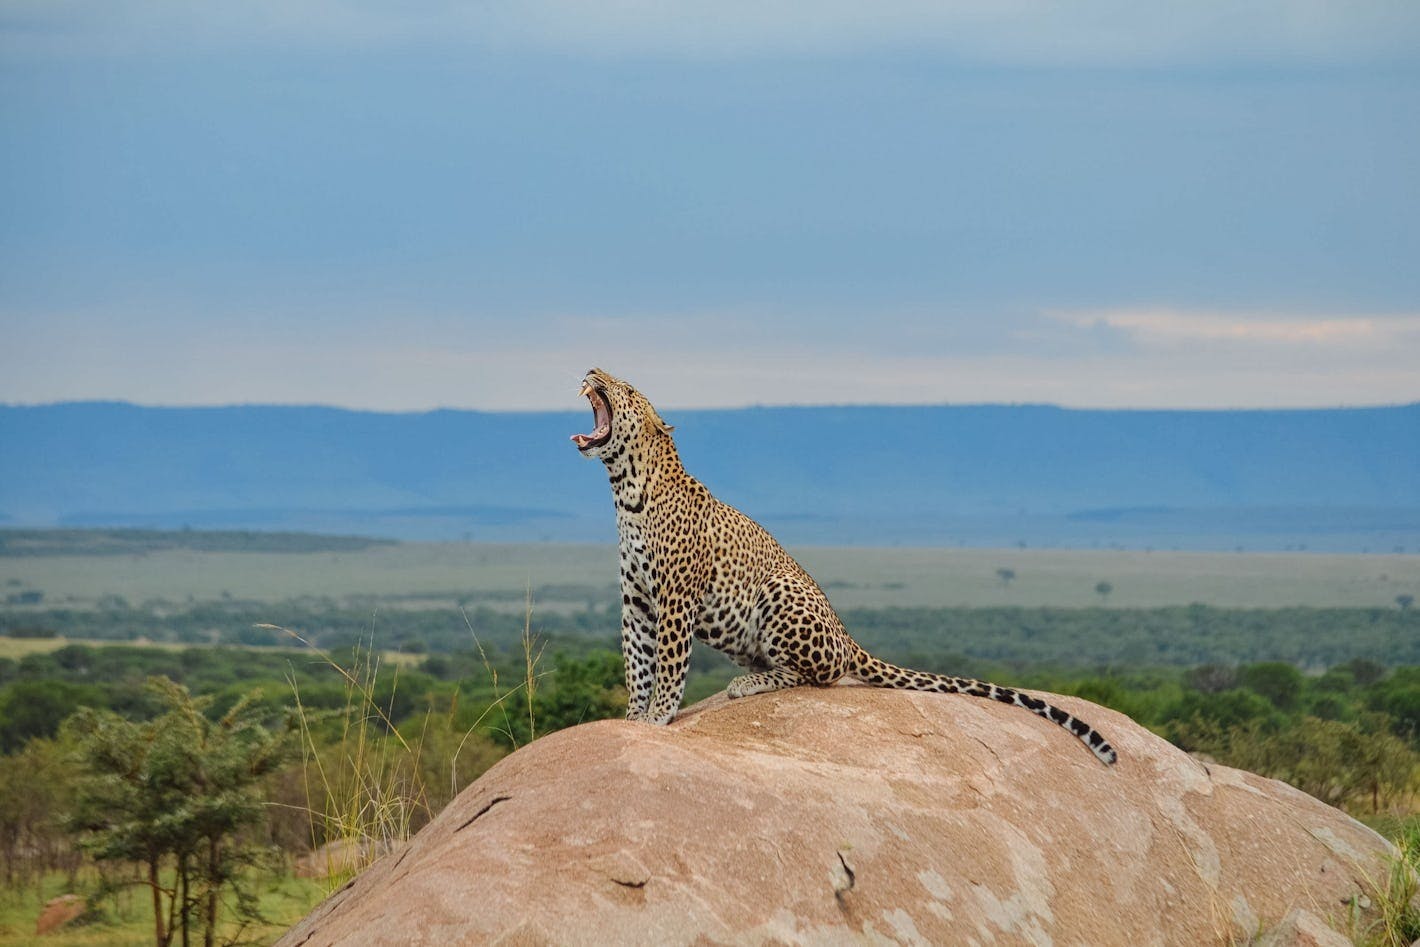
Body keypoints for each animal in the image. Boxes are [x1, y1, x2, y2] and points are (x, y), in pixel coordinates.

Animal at [571, 367, 1117, 766]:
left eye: (628, 389)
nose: (592, 369)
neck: (625, 489)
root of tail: (848, 636)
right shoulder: (636, 602)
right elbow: (637, 663)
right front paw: (632, 717)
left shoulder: (675, 598)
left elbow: (667, 664)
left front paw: (658, 717)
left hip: (780, 590)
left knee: (818, 676)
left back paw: (749, 684)